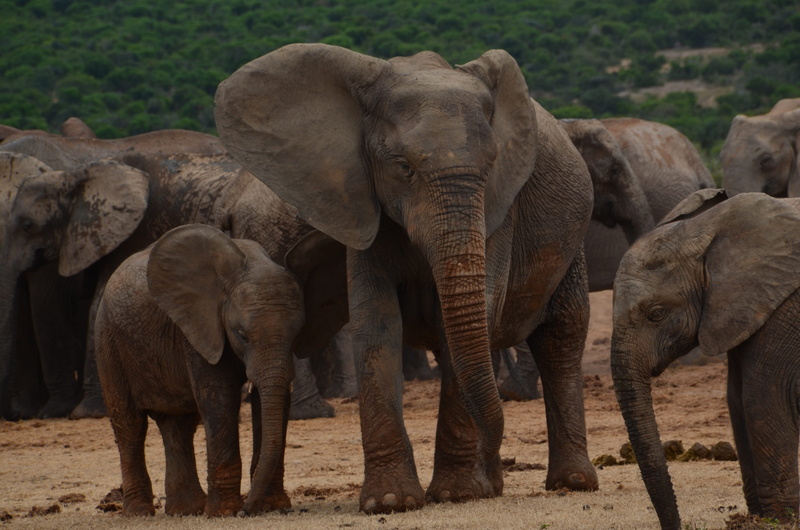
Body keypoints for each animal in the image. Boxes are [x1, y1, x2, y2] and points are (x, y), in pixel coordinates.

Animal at [96, 224, 347, 516]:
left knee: (179, 425)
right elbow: (219, 399)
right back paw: (140, 512)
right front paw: (225, 512)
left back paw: (187, 510)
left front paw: (271, 506)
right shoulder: (199, 328)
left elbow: (272, 402)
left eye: (297, 334)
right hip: (107, 340)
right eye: (242, 335)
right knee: (129, 425)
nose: (246, 511)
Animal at [216, 43, 598, 513]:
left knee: (561, 336)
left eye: (493, 164)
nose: (498, 463)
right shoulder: (360, 201)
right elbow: (376, 323)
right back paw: (495, 485)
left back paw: (570, 482)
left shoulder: (500, 209)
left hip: (573, 243)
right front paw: (390, 501)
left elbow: (467, 325)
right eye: (403, 167)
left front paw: (456, 494)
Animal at [611, 188, 800, 528]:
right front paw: (756, 518)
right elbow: (736, 399)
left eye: (656, 314)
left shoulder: (785, 307)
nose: (678, 526)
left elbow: (764, 397)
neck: (709, 229)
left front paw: (779, 521)